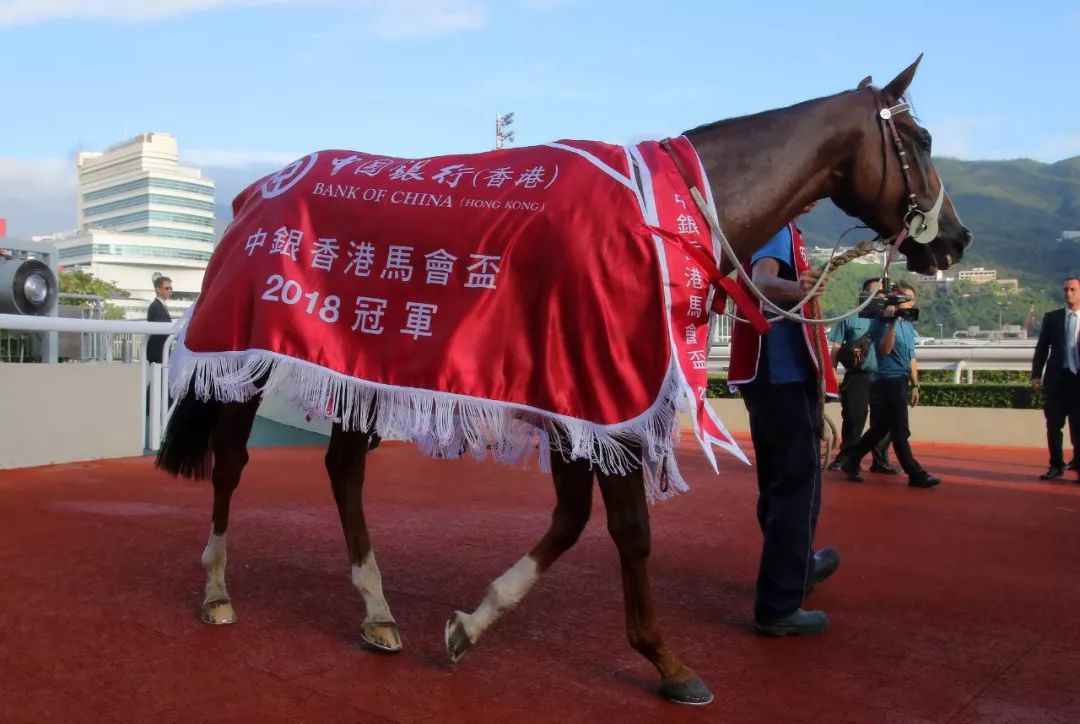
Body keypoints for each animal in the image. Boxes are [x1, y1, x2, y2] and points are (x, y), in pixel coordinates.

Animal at [152, 58, 972, 708]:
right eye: (923, 141)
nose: (957, 240)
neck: (666, 217)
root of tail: (254, 191)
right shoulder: (601, 390)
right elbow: (628, 530)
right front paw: (668, 661)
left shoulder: (578, 400)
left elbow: (571, 520)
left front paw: (471, 622)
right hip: (246, 353)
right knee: (232, 462)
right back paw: (217, 590)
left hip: (363, 363)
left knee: (343, 469)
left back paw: (377, 612)